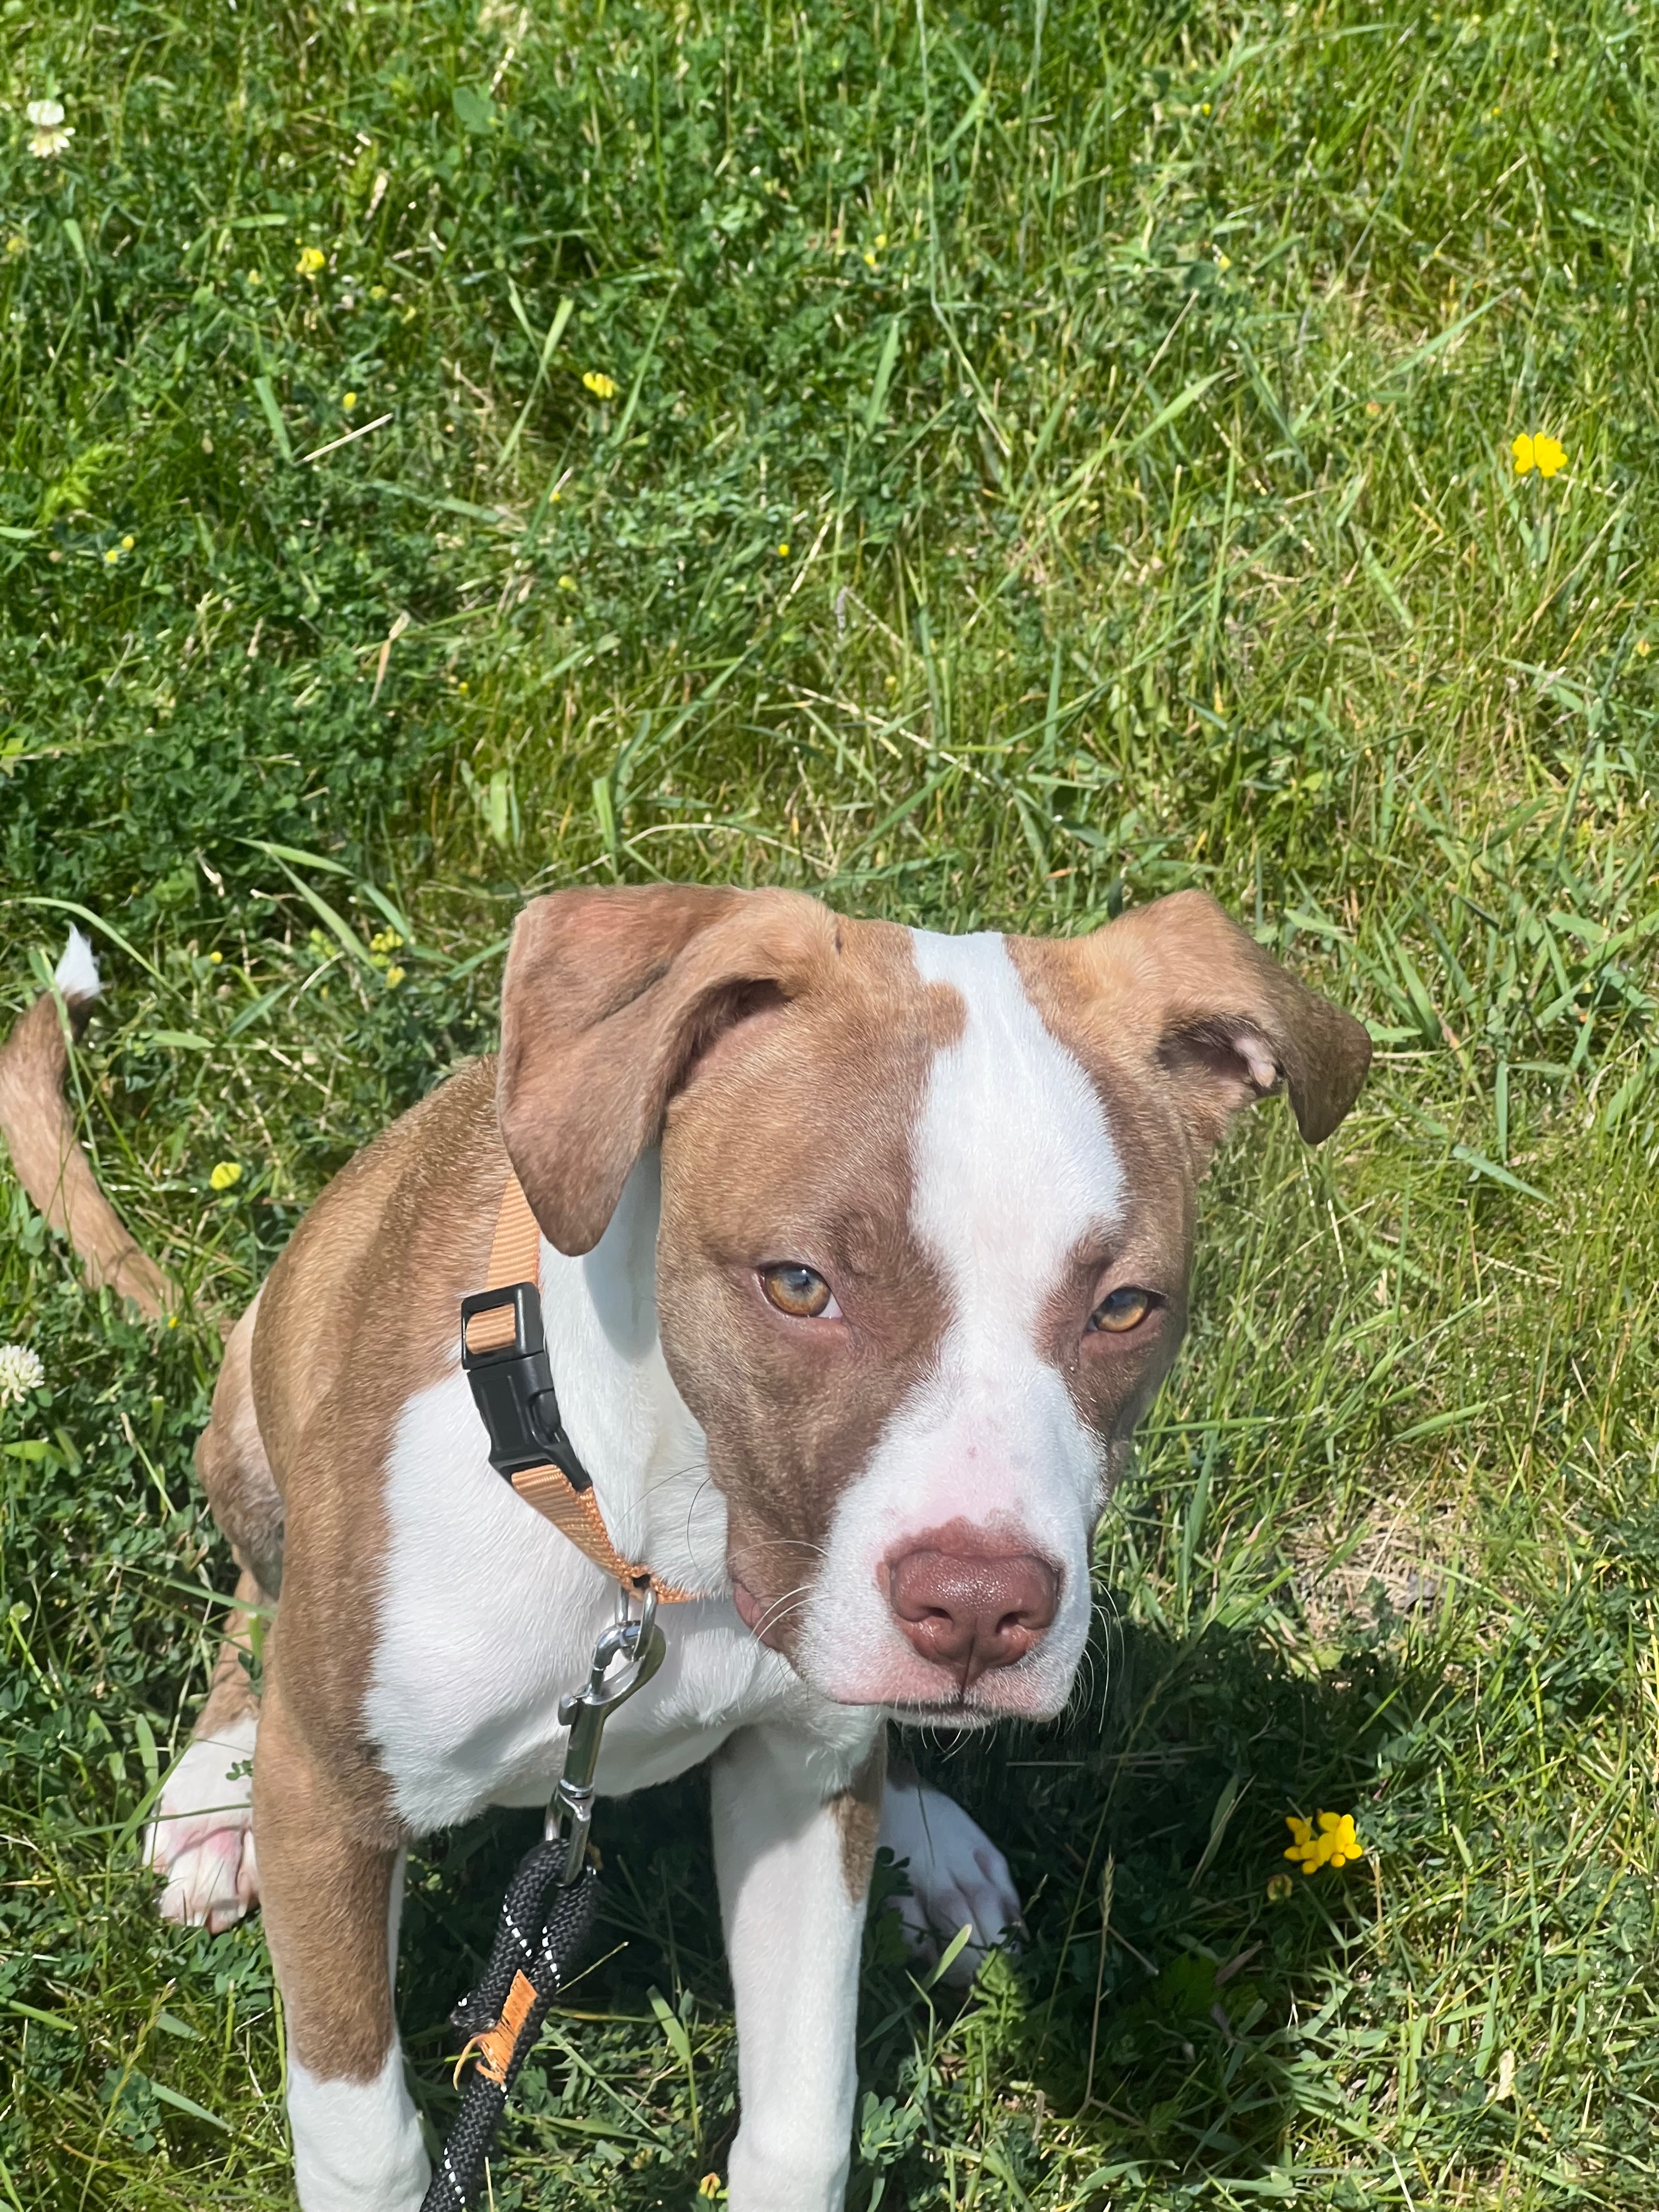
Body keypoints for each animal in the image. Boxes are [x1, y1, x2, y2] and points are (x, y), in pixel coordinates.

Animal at [2, 886, 1369, 2211]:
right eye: (799, 1284)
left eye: (1126, 1309)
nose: (981, 1609)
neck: (661, 1554)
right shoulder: (334, 1819)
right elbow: (363, 2144)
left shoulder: (797, 1791)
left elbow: (803, 2130)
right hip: (253, 1403)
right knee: (254, 1599)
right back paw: (215, 1787)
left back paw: (929, 1836)